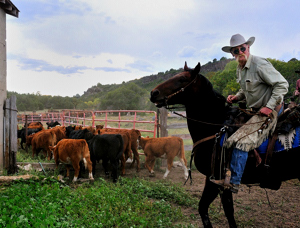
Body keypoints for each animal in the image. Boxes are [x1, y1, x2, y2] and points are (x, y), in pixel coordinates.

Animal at [150, 61, 300, 227]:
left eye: (182, 78)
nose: (154, 93)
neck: (216, 127)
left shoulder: (217, 181)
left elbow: (217, 210)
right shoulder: (214, 180)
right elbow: (213, 209)